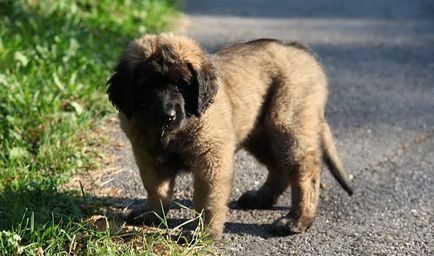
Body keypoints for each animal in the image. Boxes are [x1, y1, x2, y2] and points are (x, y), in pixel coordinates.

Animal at [106, 33, 352, 239]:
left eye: (182, 85)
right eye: (148, 85)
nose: (168, 115)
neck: (172, 132)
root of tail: (301, 51)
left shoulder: (211, 157)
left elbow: (207, 198)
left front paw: (204, 233)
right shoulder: (147, 156)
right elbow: (155, 188)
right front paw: (152, 215)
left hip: (288, 123)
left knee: (305, 170)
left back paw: (297, 220)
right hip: (259, 133)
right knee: (280, 166)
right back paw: (261, 198)